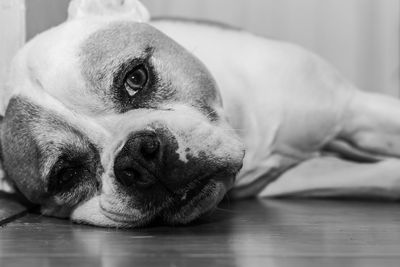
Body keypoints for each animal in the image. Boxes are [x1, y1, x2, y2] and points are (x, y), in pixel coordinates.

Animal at [0, 0, 400, 228]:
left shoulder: (355, 110)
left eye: (136, 77)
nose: (139, 158)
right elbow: (379, 176)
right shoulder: (298, 175)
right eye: (65, 175)